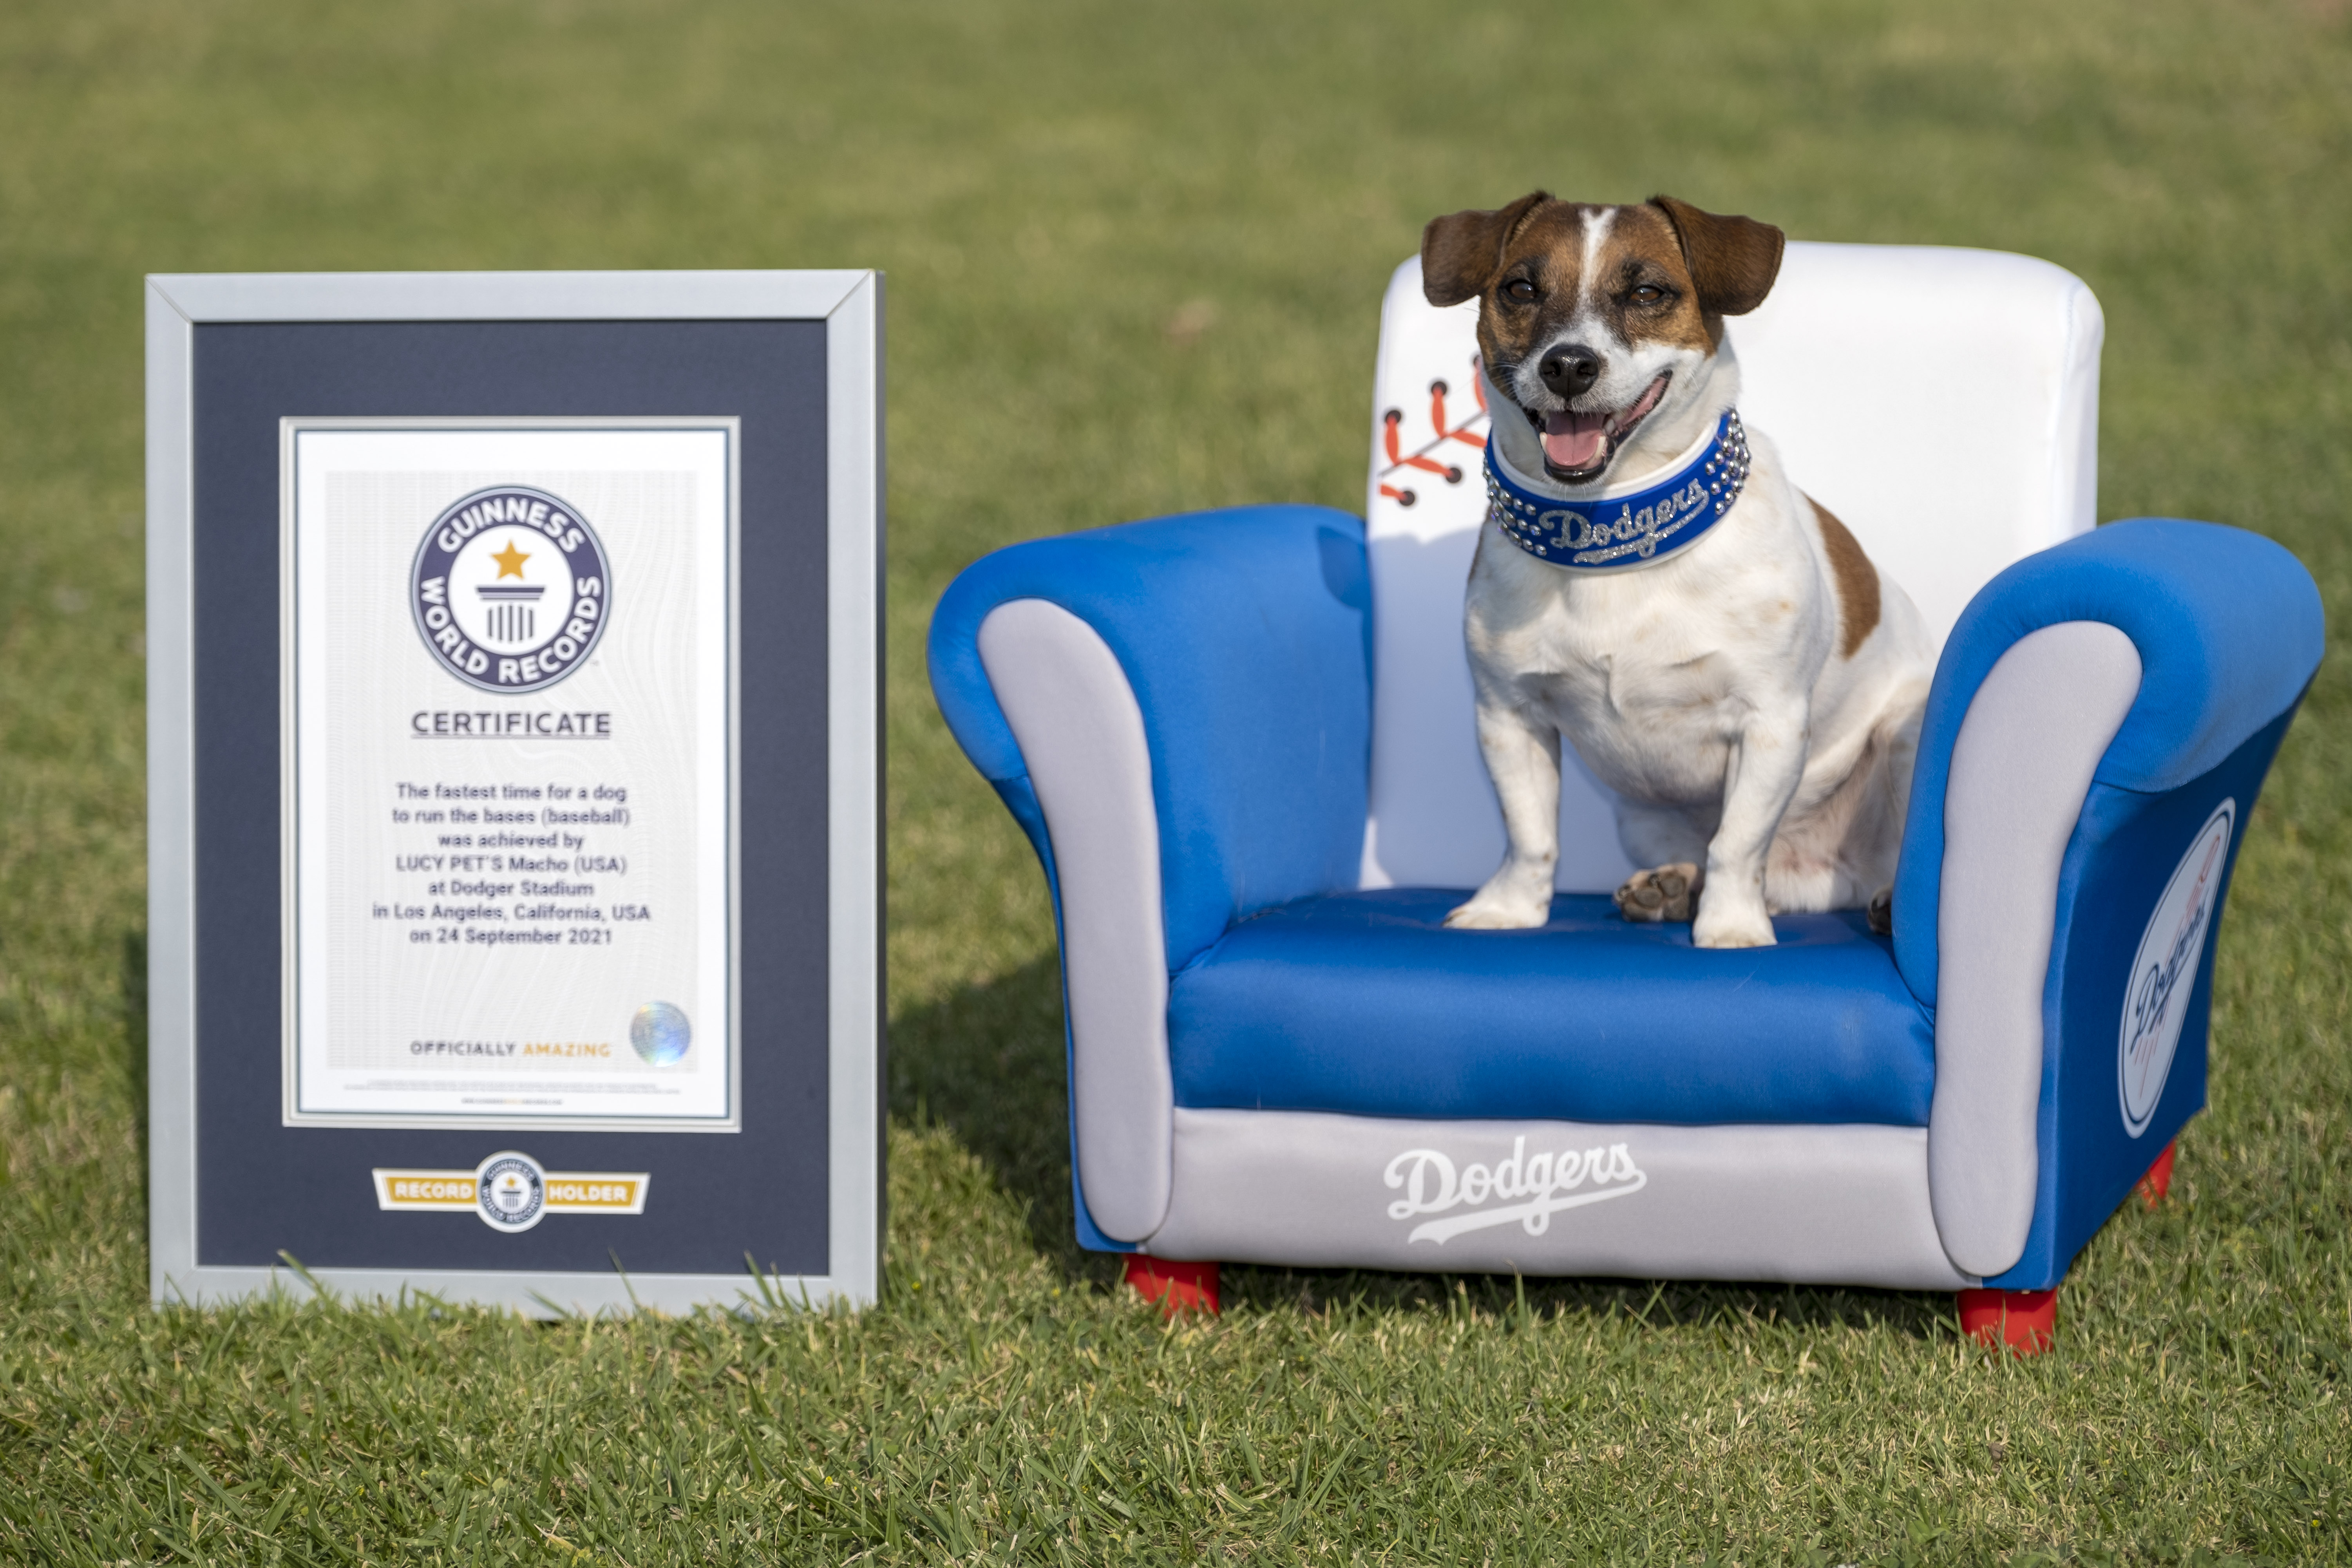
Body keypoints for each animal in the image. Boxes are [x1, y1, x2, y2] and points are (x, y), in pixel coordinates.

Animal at [1411, 190, 1929, 949]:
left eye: (1648, 293)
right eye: (1520, 289)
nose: (1569, 365)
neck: (1609, 535)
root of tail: (1823, 873)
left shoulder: (1770, 722)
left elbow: (1737, 842)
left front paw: (1731, 927)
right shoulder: (1509, 717)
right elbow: (1529, 835)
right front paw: (1508, 909)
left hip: (1904, 737)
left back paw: (1887, 904)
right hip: (1641, 816)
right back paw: (1676, 887)